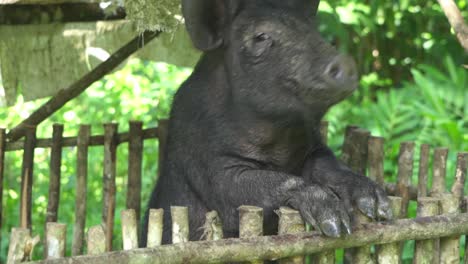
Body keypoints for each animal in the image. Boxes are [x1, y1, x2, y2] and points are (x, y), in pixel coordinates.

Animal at [142, 0, 392, 244]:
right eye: (260, 36)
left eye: (312, 29)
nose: (346, 62)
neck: (278, 142)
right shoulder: (206, 162)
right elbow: (264, 184)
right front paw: (335, 225)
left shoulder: (315, 148)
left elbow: (329, 165)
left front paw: (380, 206)